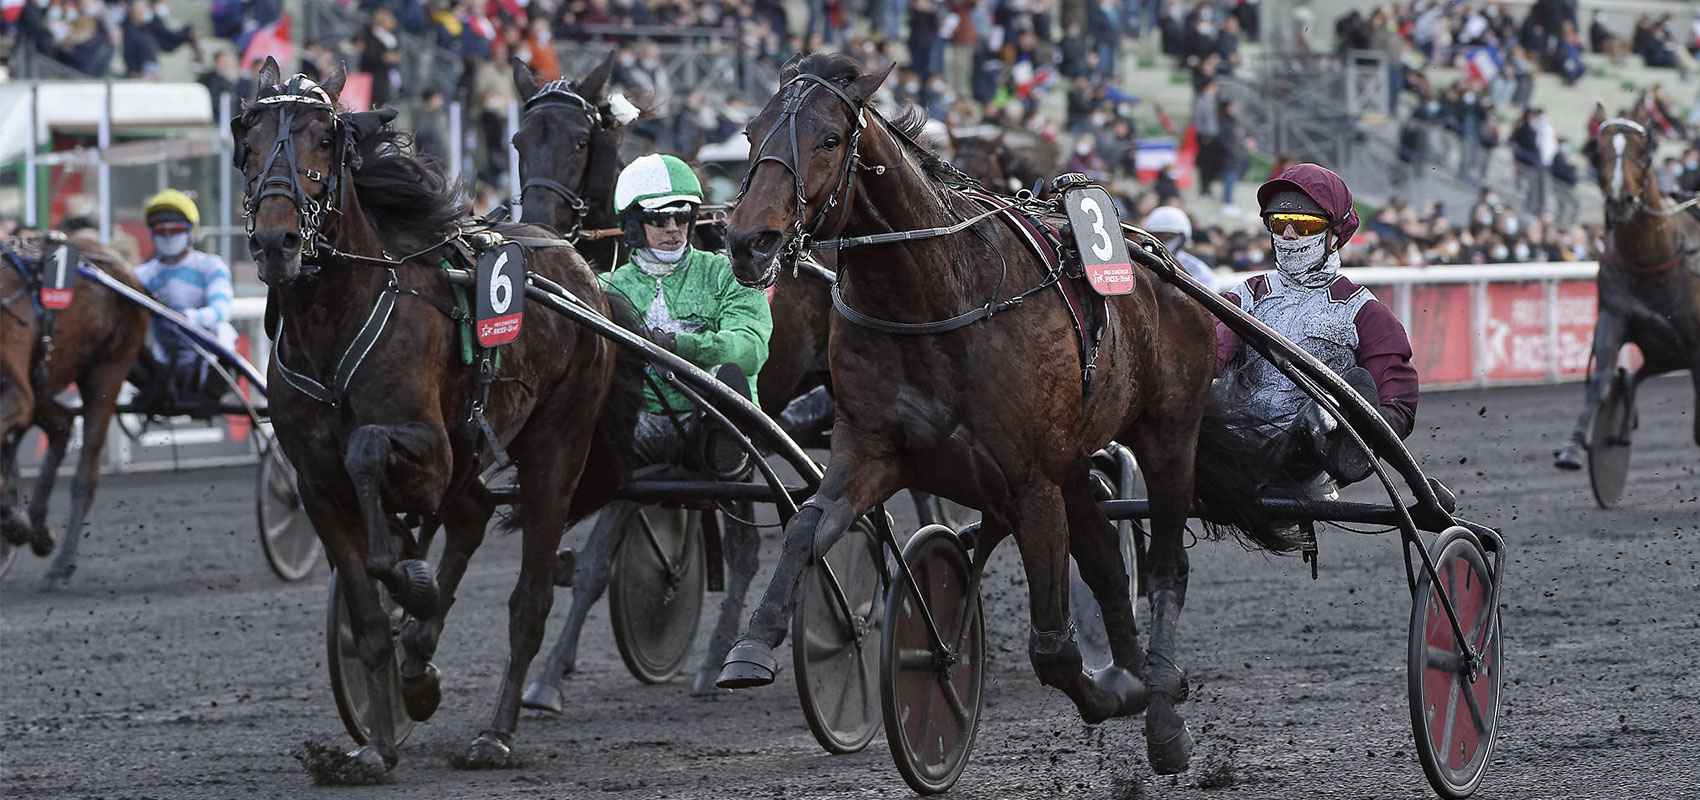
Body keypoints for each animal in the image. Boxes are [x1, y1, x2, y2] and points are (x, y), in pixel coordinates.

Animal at [1, 230, 147, 587]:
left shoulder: (16, 392)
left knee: (85, 473)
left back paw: (60, 564)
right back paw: (38, 529)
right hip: (46, 377)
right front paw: (21, 525)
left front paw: (16, 524)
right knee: (63, 424)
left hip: (107, 370)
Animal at [238, 59, 639, 774]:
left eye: (324, 140)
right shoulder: (316, 487)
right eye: (248, 142)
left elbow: (368, 453)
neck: (333, 323)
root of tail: (578, 268)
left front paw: (411, 580)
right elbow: (370, 617)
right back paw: (419, 669)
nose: (275, 241)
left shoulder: (429, 451)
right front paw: (374, 745)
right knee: (473, 515)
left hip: (556, 443)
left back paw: (496, 732)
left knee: (530, 599)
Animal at [714, 53, 1224, 774]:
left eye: (829, 139)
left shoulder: (1029, 483)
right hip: (1073, 462)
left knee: (1166, 567)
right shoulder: (872, 450)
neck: (933, 296)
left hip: (1170, 435)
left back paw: (1159, 711)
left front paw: (1110, 695)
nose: (748, 241)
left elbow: (1051, 645)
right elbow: (806, 526)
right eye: (751, 131)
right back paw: (1133, 671)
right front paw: (752, 646)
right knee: (1102, 554)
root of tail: (1165, 264)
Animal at [1557, 115, 1700, 472]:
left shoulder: (1694, 341)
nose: (1620, 202)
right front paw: (1575, 445)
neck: (1650, 259)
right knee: (1634, 377)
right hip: (1662, 353)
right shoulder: (1613, 315)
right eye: (1598, 151)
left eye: (1642, 152)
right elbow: (1601, 379)